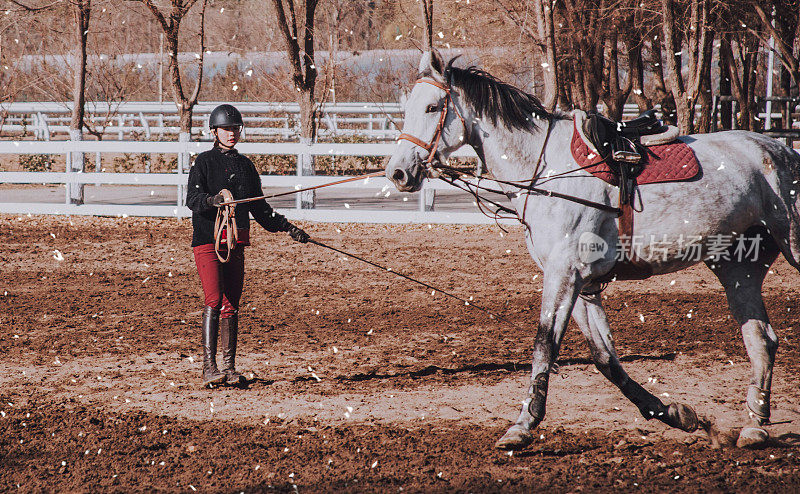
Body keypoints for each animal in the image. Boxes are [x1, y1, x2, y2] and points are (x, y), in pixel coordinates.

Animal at [386, 52, 800, 450]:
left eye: (431, 107)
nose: (397, 173)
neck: (547, 170)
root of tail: (782, 150)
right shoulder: (583, 284)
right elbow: (605, 358)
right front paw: (675, 413)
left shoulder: (564, 273)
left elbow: (544, 345)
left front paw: (523, 425)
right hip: (737, 267)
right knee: (761, 339)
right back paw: (754, 427)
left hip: (789, 246)